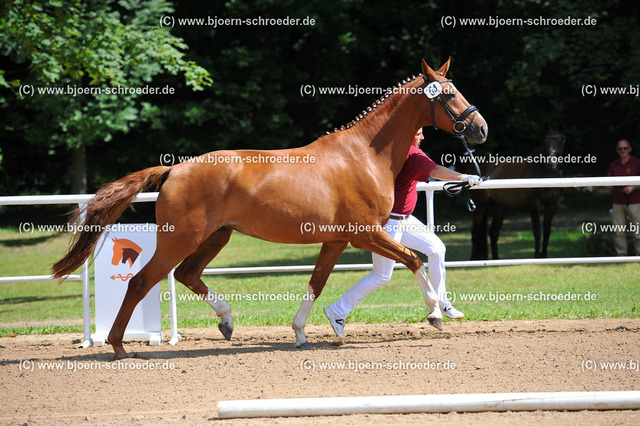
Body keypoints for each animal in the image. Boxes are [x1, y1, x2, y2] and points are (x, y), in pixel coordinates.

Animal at [52, 59, 488, 360]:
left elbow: (316, 283)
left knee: (189, 275)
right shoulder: (366, 234)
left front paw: (301, 333)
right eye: (449, 94)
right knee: (142, 282)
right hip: (180, 239)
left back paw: (227, 322)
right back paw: (119, 347)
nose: (480, 128)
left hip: (216, 237)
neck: (364, 154)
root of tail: (175, 168)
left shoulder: (337, 241)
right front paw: (435, 313)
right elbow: (413, 261)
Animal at [470, 129, 564, 260]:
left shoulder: (552, 205)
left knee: (493, 233)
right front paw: (537, 255)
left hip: (498, 208)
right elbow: (537, 230)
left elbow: (547, 231)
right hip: (480, 207)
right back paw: (473, 259)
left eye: (561, 141)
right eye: (546, 142)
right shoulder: (535, 204)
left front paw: (544, 255)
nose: (552, 164)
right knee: (475, 233)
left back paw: (496, 258)